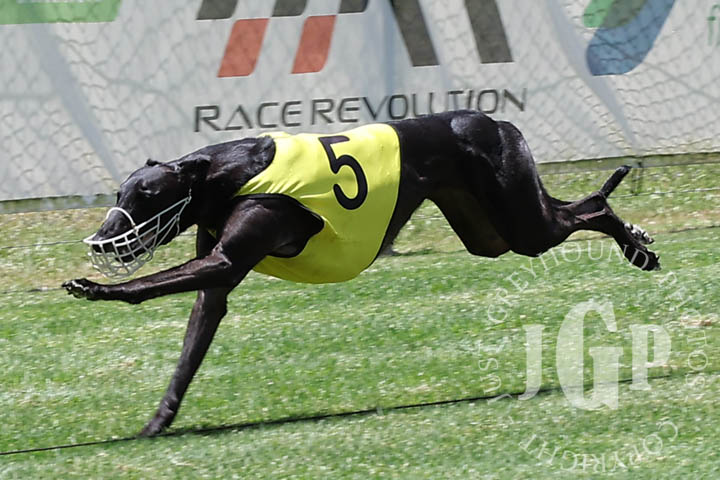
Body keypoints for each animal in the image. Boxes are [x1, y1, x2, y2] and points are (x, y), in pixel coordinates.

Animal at [63, 110, 659, 436]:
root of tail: (495, 120)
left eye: (144, 195)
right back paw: (638, 241)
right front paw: (157, 423)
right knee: (579, 206)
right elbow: (191, 348)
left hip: (520, 224)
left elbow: (146, 286)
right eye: (120, 193)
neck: (224, 172)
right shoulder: (216, 279)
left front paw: (93, 287)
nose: (102, 239)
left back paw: (638, 248)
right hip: (492, 233)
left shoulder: (228, 255)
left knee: (593, 207)